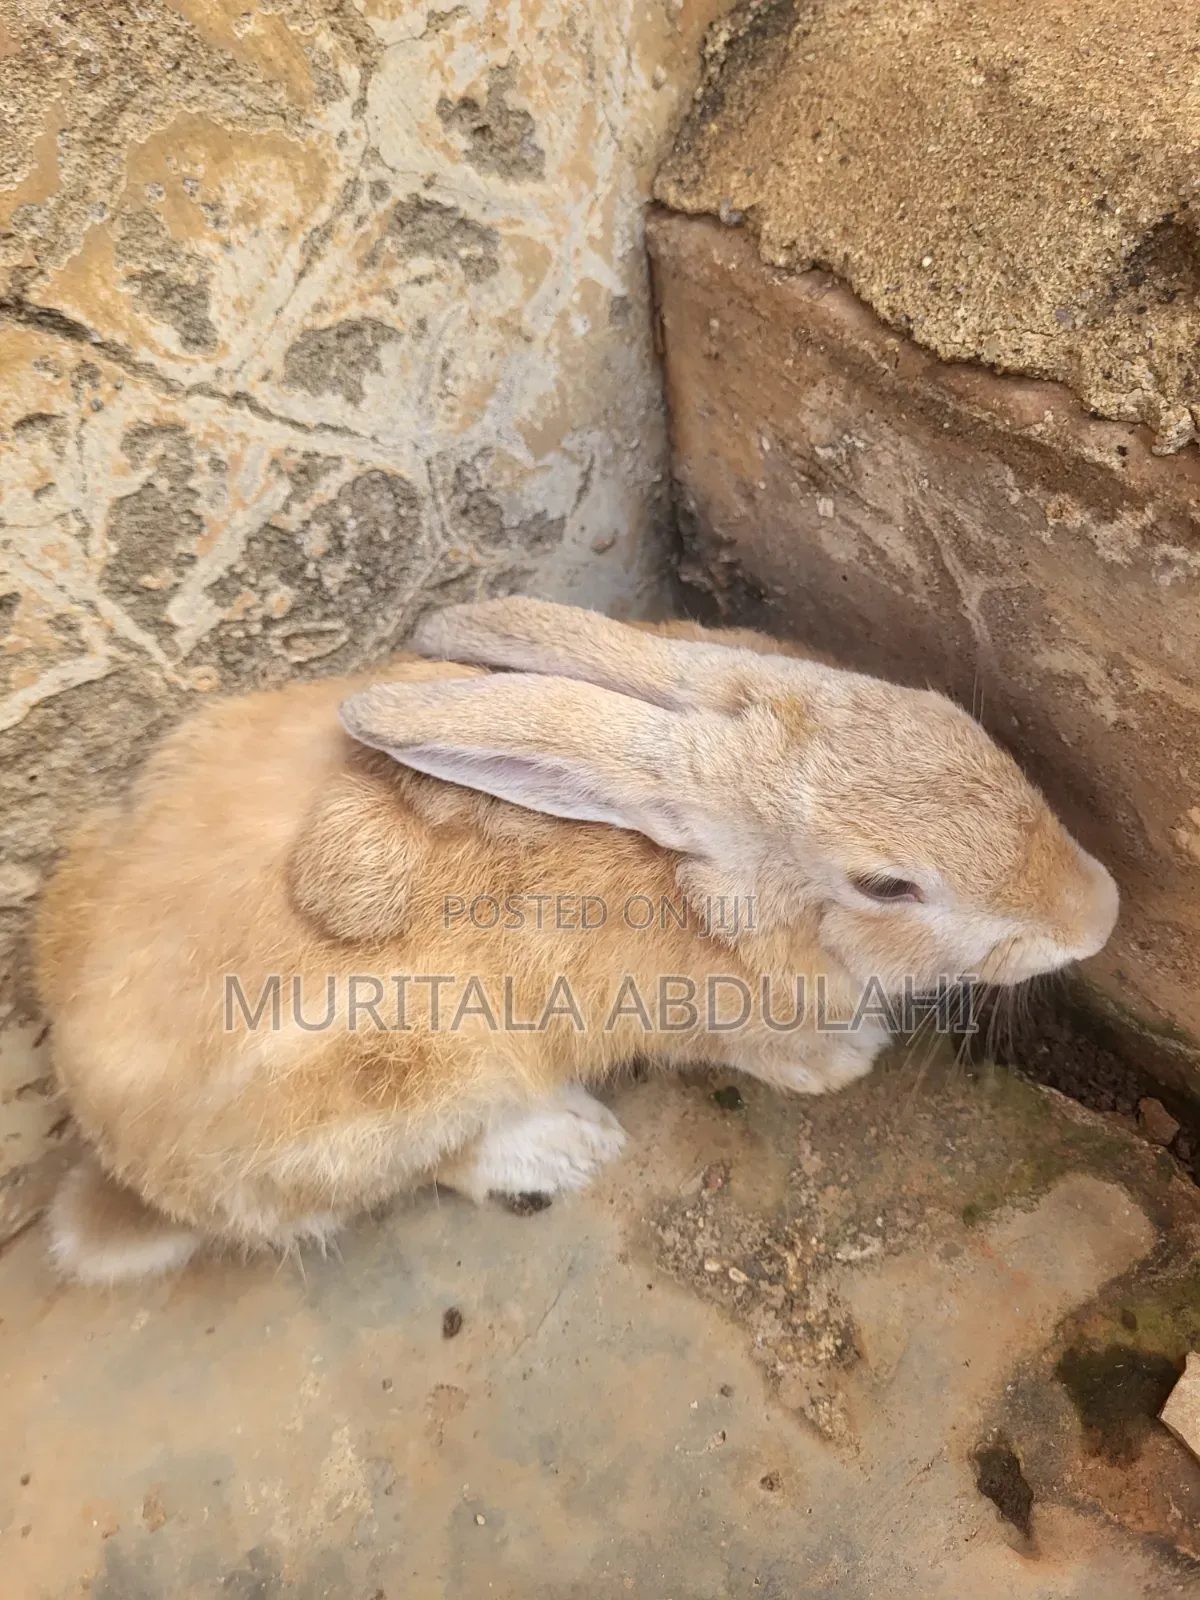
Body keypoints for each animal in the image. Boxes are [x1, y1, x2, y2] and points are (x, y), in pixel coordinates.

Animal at [35, 599, 1119, 1285]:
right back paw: (564, 1146)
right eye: (887, 884)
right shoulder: (697, 1015)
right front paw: (843, 1061)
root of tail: (129, 1161)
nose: (1098, 912)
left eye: (951, 716)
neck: (711, 884)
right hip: (405, 1082)